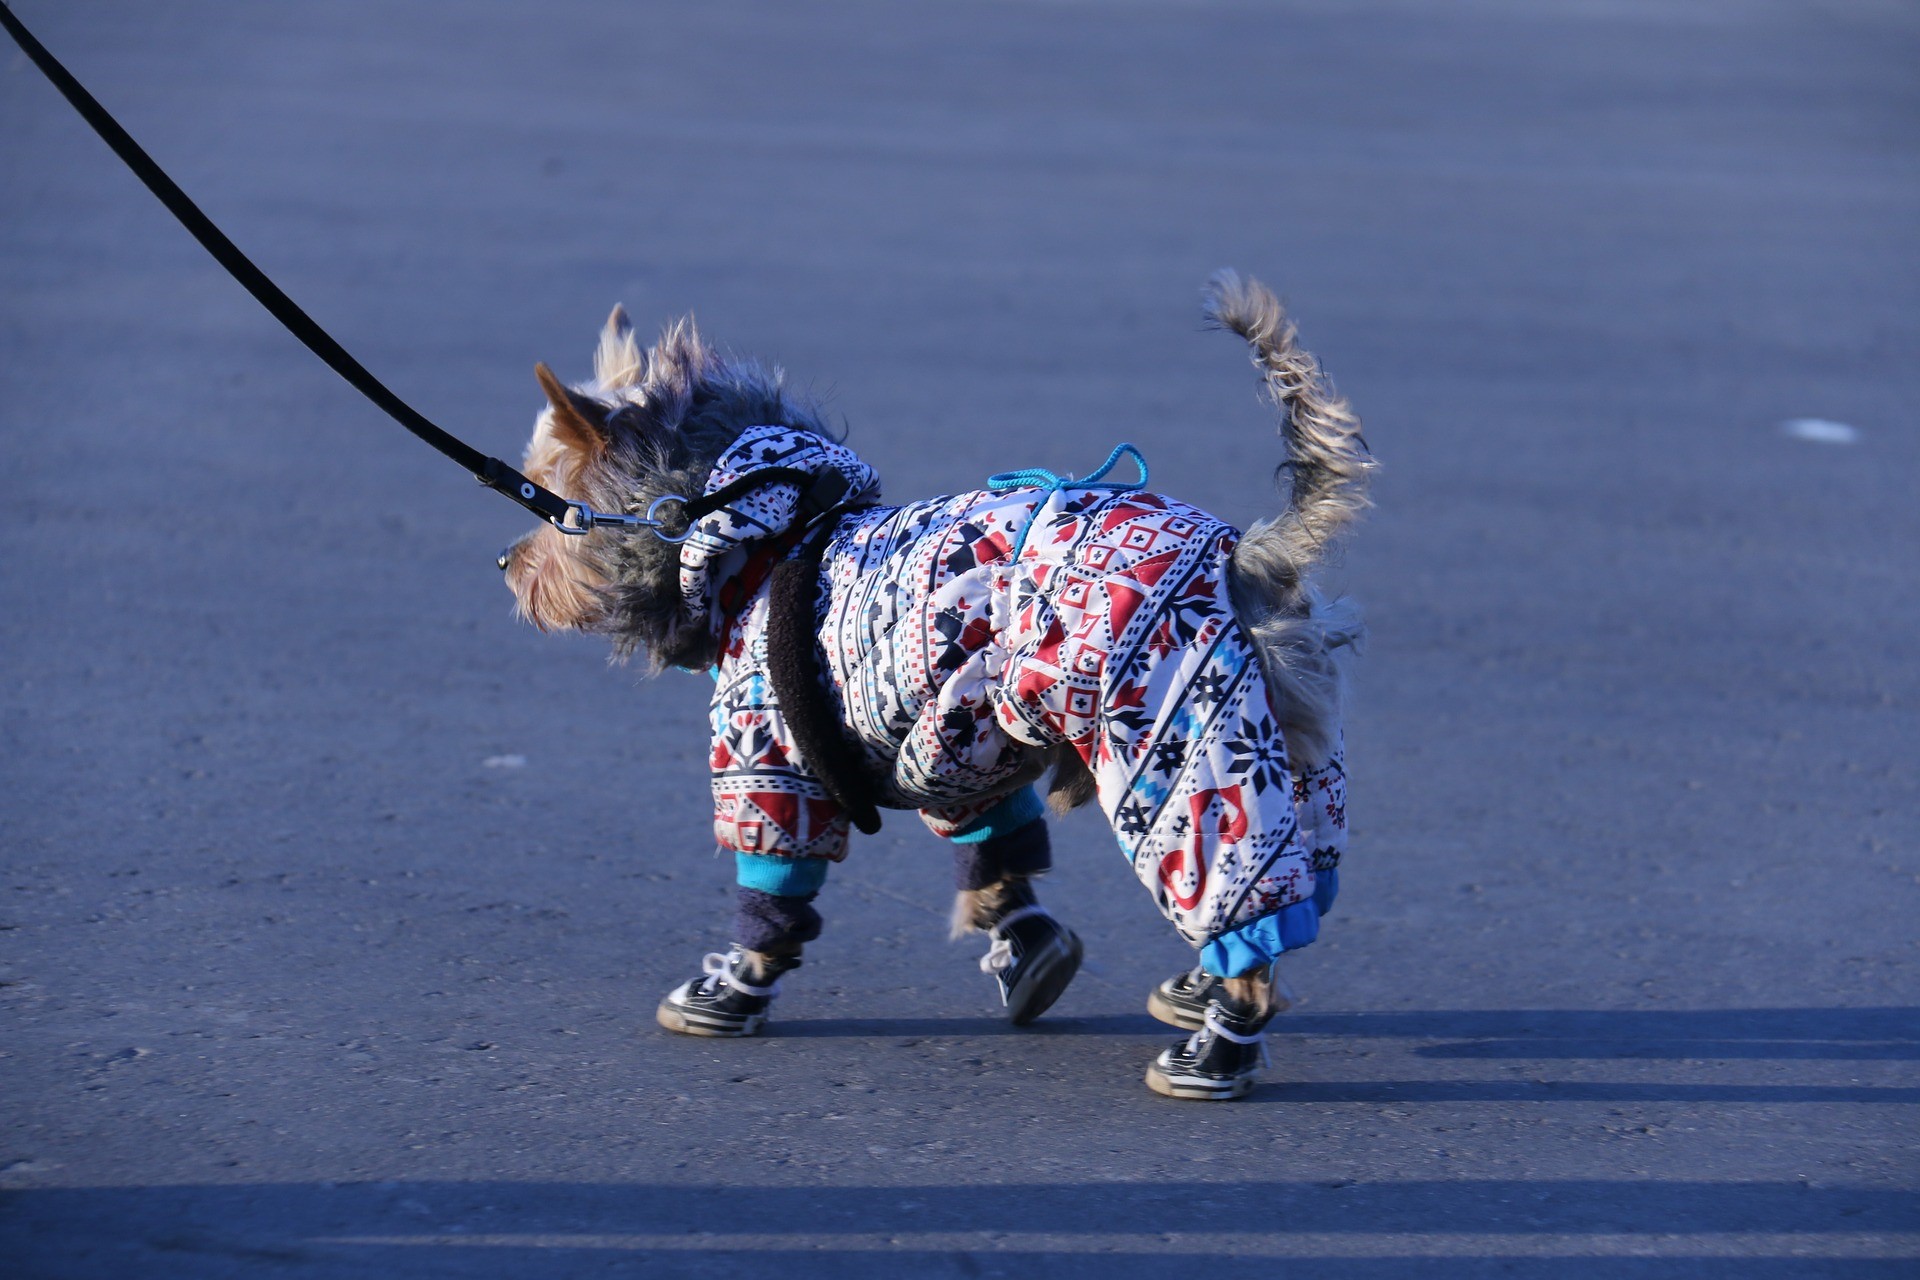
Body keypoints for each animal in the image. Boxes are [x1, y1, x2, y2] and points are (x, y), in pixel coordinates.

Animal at [503, 272, 1374, 1105]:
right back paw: (1202, 988)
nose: (506, 562)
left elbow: (777, 872)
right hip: (1293, 754)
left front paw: (736, 985)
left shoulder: (772, 748)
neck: (759, 538)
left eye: (550, 506)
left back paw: (1220, 1049)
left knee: (1234, 897)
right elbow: (996, 848)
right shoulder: (954, 732)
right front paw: (1023, 942)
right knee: (1306, 876)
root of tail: (1244, 558)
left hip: (1182, 742)